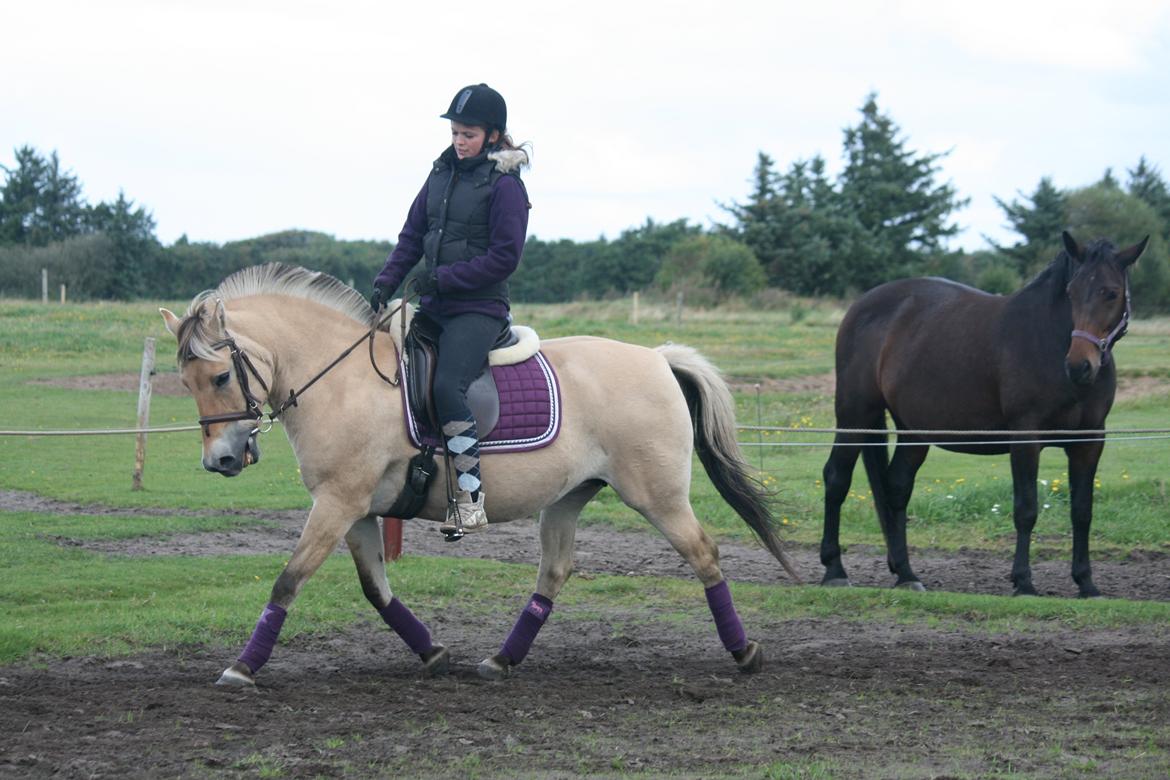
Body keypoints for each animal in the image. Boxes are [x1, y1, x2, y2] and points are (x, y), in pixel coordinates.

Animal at [160, 265, 800, 687]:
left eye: (220, 377)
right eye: (185, 382)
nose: (219, 460)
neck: (345, 382)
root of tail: (657, 358)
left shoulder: (338, 503)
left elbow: (287, 581)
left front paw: (242, 666)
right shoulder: (356, 508)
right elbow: (375, 589)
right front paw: (431, 652)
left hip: (658, 496)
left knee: (704, 554)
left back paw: (744, 652)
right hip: (568, 498)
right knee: (555, 571)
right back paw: (503, 659)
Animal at [819, 231, 1146, 598]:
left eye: (1111, 292)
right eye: (1071, 291)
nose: (1079, 365)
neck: (1048, 342)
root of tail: (862, 306)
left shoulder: (1089, 441)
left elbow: (1082, 511)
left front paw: (1086, 583)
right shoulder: (1025, 437)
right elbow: (1026, 509)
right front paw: (1024, 582)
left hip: (914, 432)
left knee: (896, 487)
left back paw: (906, 574)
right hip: (855, 416)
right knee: (837, 478)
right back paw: (834, 569)